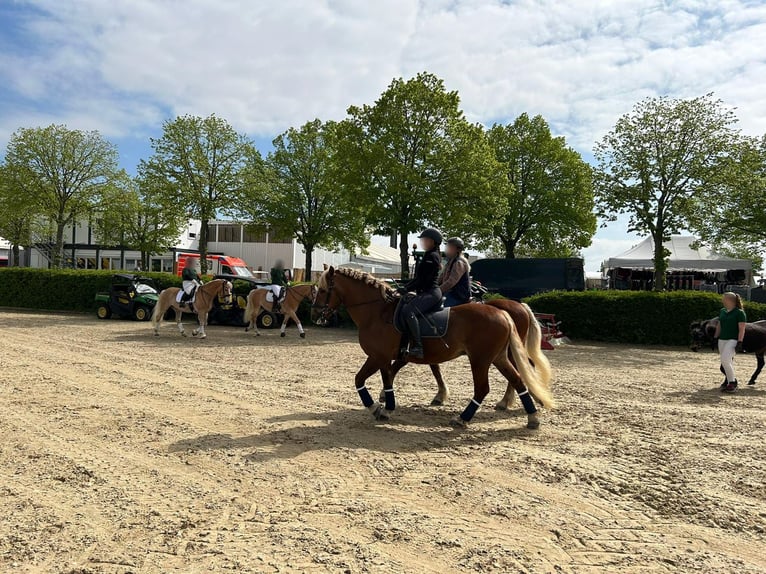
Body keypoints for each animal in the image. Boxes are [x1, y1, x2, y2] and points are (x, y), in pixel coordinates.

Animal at [316, 268, 556, 430]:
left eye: (323, 290)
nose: (315, 313)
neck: (377, 312)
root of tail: (505, 312)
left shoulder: (379, 356)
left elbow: (369, 378)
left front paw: (380, 406)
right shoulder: (386, 357)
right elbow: (387, 376)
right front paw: (385, 403)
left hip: (480, 359)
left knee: (484, 388)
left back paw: (465, 417)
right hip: (498, 357)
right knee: (518, 378)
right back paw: (531, 415)